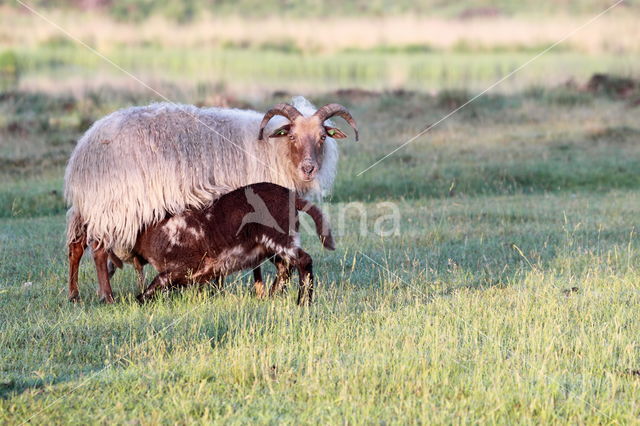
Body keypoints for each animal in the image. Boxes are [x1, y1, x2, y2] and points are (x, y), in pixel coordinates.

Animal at [126, 183, 336, 306]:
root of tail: (291, 196)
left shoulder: (183, 266)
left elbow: (154, 285)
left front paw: (137, 301)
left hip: (279, 237)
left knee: (303, 261)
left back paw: (303, 303)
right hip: (270, 246)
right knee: (285, 268)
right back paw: (271, 298)